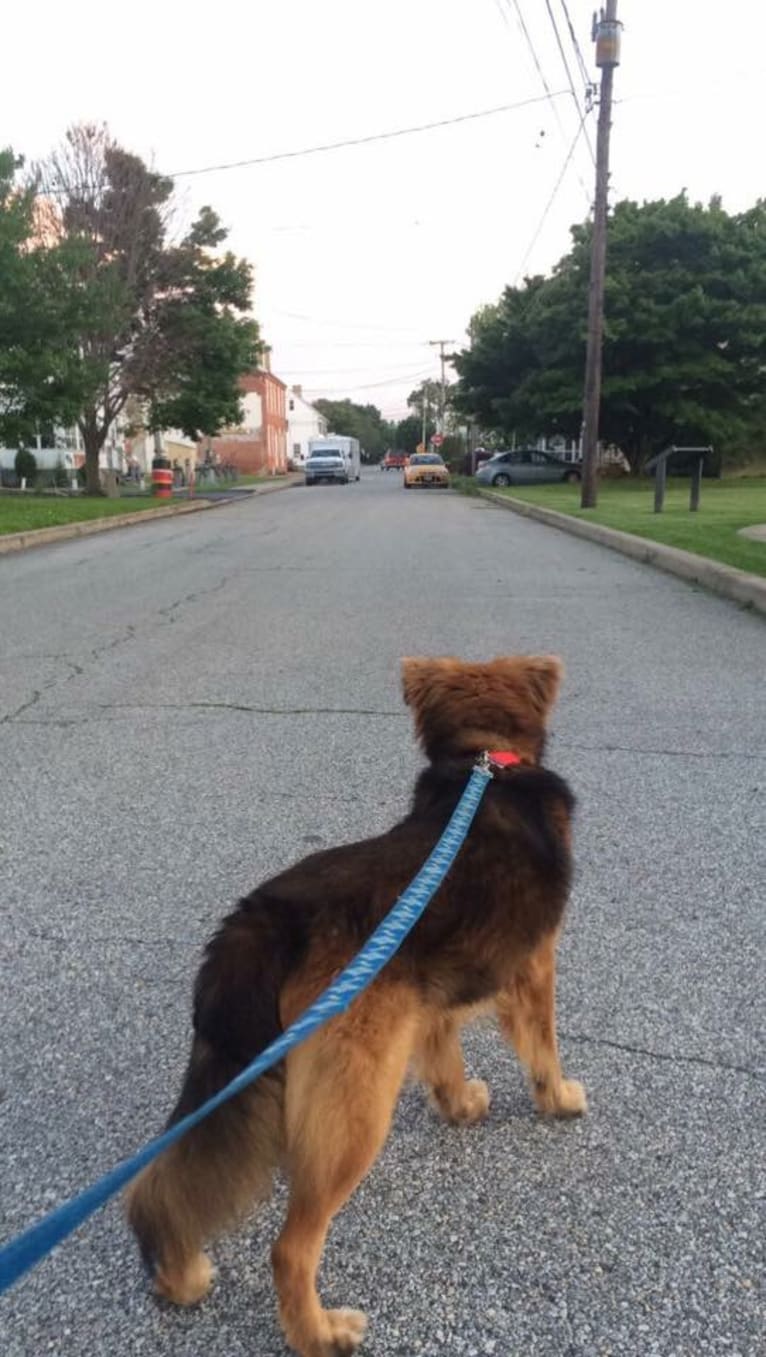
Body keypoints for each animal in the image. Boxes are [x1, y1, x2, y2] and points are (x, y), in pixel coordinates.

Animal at [125, 651, 584, 1351]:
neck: (484, 765)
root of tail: (265, 918)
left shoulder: (426, 996)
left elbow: (444, 1057)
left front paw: (460, 1106)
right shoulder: (533, 970)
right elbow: (543, 1050)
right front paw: (559, 1100)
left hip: (236, 1065)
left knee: (166, 1183)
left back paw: (179, 1277)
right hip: (355, 1102)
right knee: (291, 1248)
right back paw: (319, 1332)